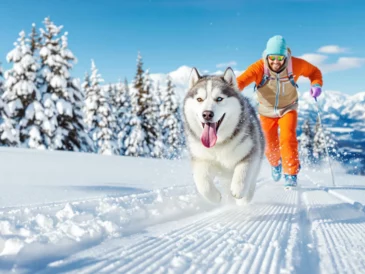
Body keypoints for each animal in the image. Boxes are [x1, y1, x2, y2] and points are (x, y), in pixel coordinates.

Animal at [182, 67, 264, 203]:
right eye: (199, 99)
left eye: (219, 98)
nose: (207, 114)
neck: (219, 144)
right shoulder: (201, 159)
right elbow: (202, 182)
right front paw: (214, 197)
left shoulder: (251, 151)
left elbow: (244, 171)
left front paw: (239, 190)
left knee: (251, 181)